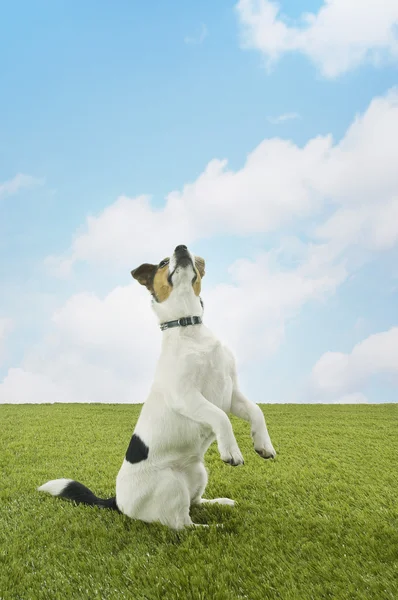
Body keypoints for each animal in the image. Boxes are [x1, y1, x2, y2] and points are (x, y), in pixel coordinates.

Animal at [39, 245, 276, 528]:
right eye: (163, 263)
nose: (181, 247)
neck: (188, 325)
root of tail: (117, 502)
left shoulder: (231, 395)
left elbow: (256, 411)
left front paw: (264, 445)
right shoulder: (186, 396)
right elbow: (220, 417)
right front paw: (231, 450)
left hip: (199, 472)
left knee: (196, 503)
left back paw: (220, 503)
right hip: (171, 484)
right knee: (183, 525)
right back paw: (218, 528)